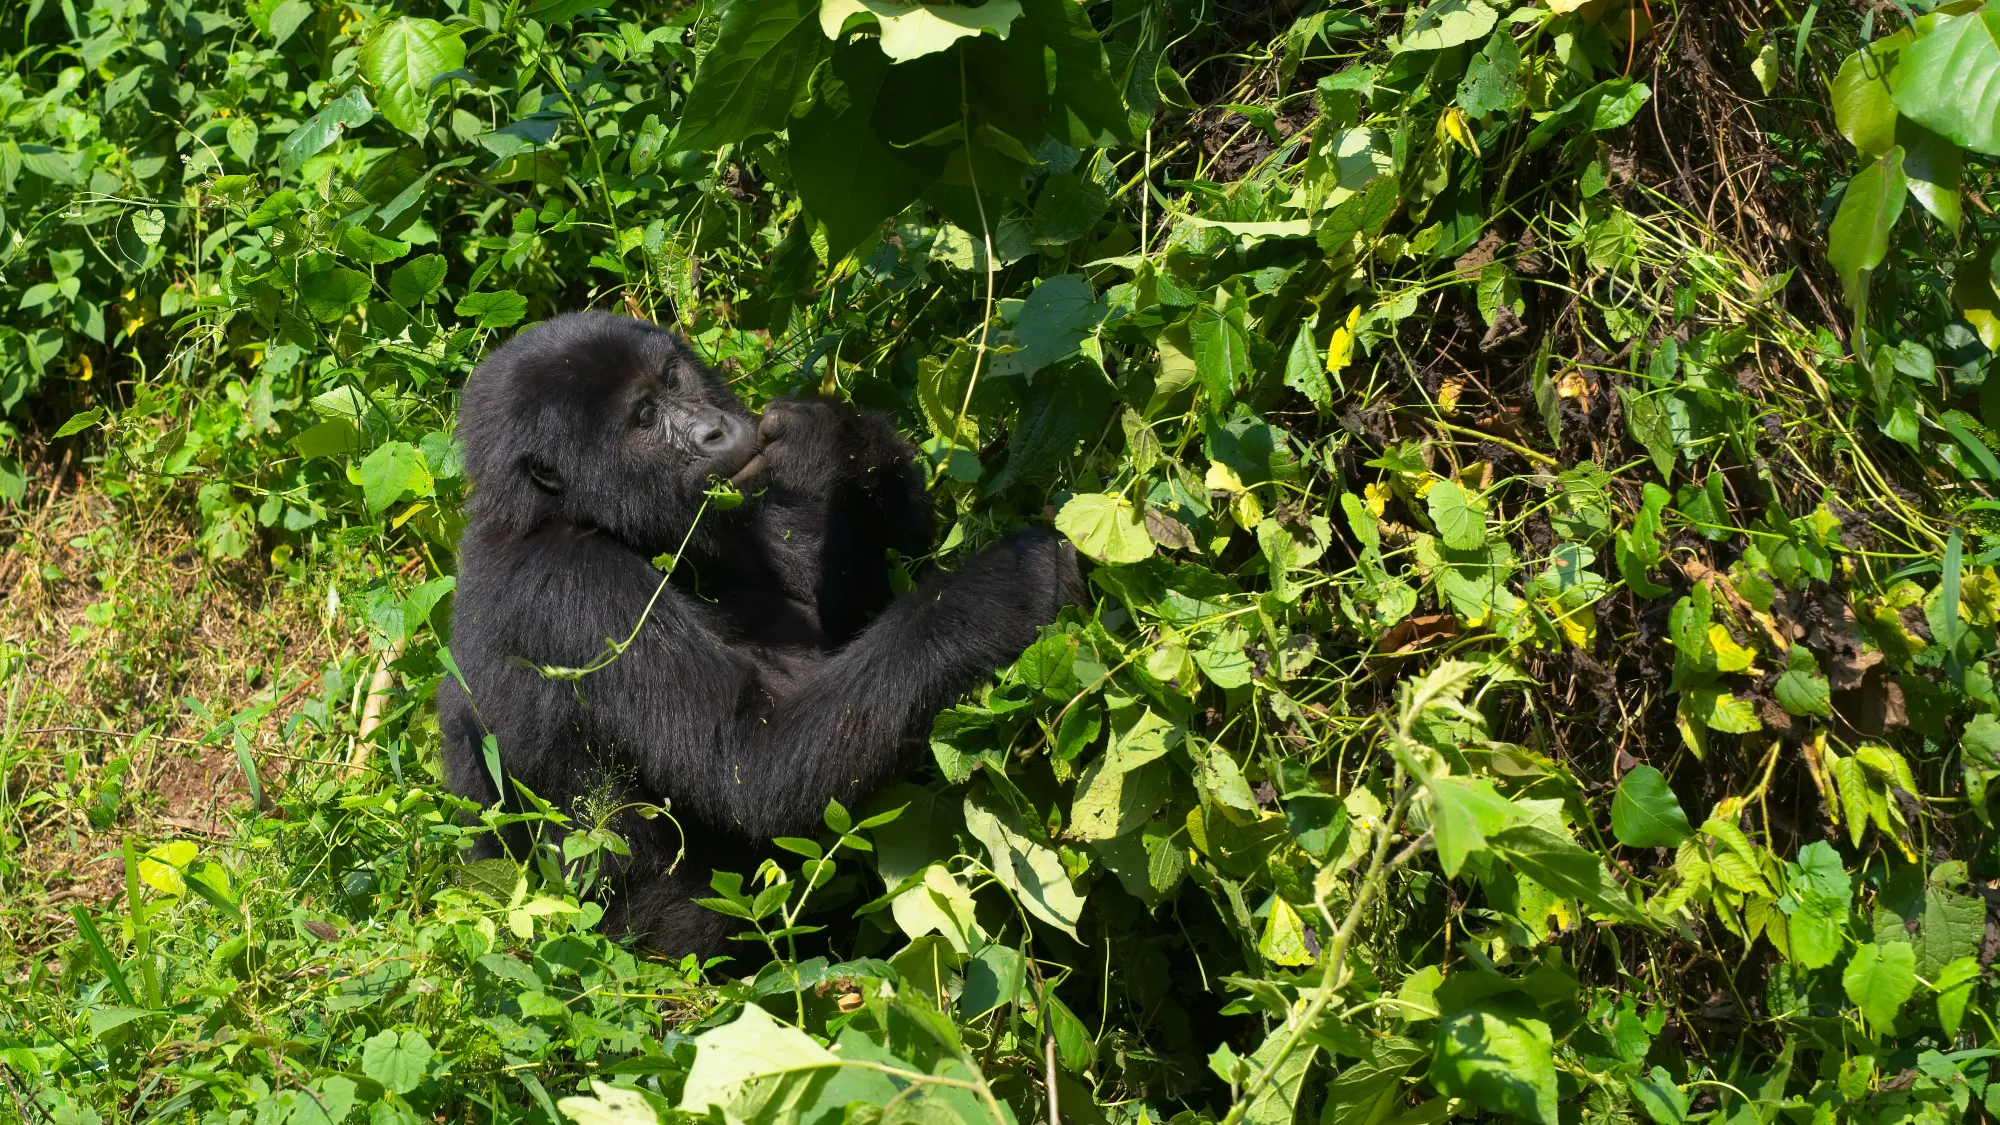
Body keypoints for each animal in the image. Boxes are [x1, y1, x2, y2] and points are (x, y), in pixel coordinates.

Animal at [444, 310, 1088, 948]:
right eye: (645, 418)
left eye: (673, 377)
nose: (713, 430)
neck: (555, 512)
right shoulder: (571, 585)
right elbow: (753, 771)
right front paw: (998, 591)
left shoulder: (733, 505)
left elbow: (857, 595)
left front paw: (835, 442)